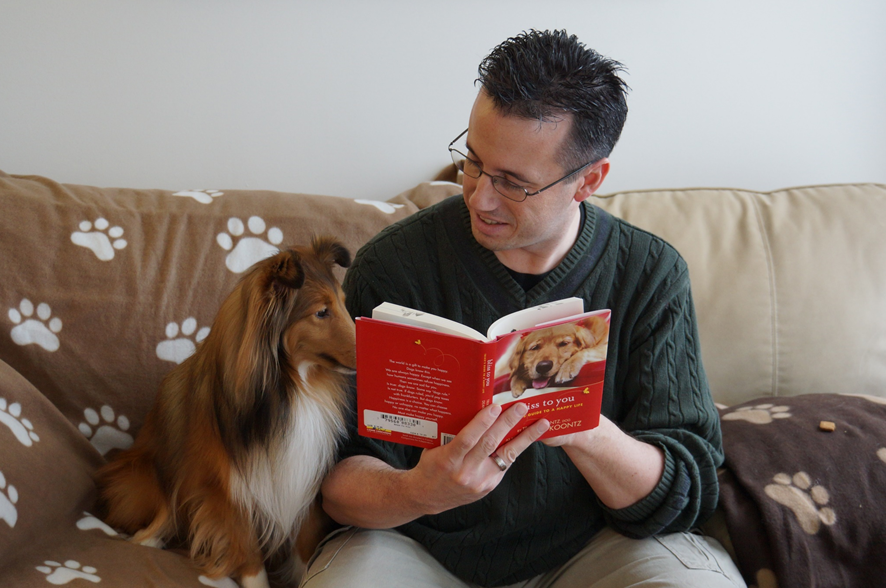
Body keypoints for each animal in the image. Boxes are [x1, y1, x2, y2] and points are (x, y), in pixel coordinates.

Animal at [98, 237, 358, 584]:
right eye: (321, 312)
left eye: (343, 303)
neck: (288, 390)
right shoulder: (226, 488)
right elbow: (248, 552)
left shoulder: (304, 476)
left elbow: (306, 544)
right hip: (143, 472)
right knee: (163, 511)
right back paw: (149, 539)